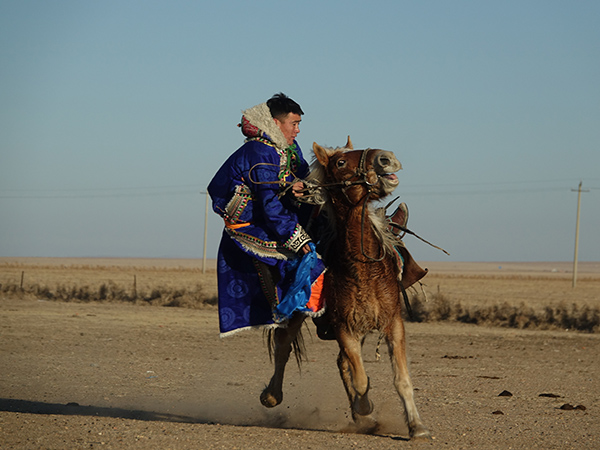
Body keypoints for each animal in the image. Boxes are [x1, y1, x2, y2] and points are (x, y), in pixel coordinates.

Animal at [260, 137, 428, 440]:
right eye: (340, 162)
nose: (387, 158)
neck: (363, 268)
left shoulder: (392, 323)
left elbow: (401, 379)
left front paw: (416, 426)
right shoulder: (344, 327)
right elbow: (361, 379)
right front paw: (364, 407)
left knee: (340, 362)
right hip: (300, 313)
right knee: (284, 345)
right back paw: (271, 395)